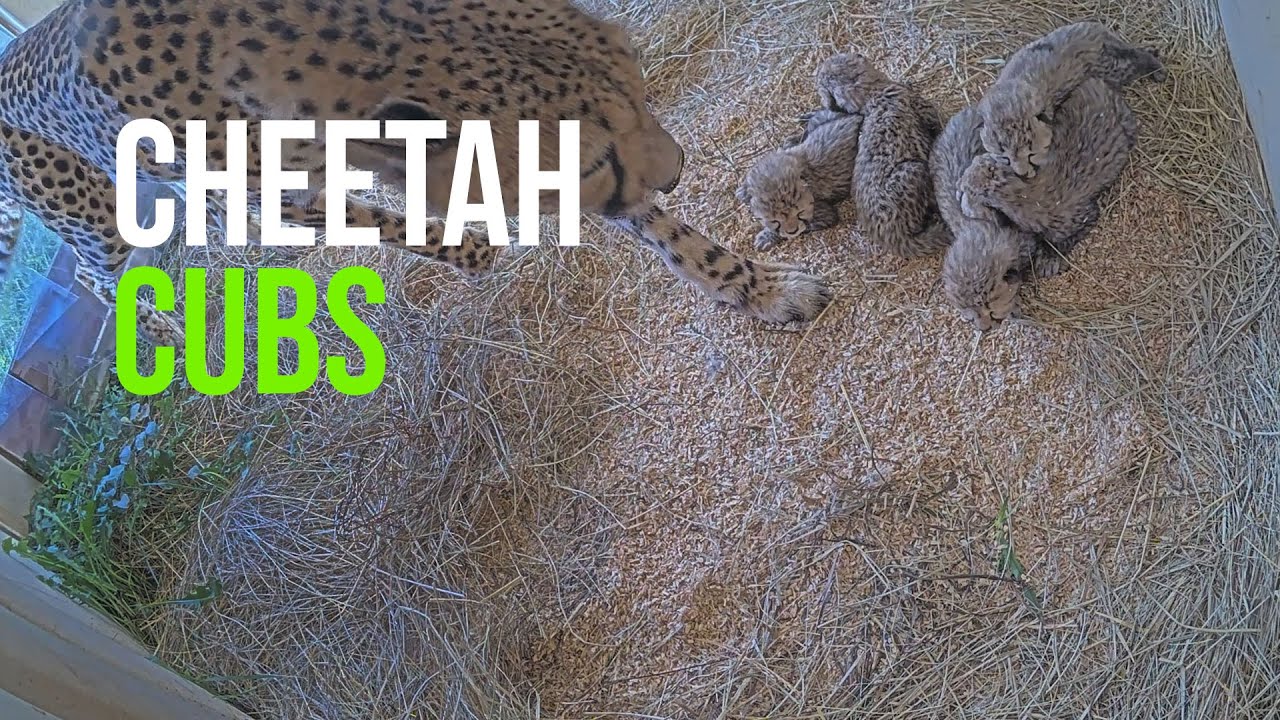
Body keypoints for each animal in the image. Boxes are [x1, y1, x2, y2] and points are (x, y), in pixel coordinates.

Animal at [0, 0, 833, 350]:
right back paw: (160, 324)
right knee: (94, 276)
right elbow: (388, 220)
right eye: (594, 155)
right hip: (96, 218)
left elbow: (671, 240)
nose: (679, 168)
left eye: (638, 87)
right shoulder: (300, 193)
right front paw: (469, 249)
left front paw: (757, 289)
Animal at [735, 108, 864, 252]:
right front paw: (744, 191)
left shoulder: (825, 215)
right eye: (775, 220)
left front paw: (766, 236)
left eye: (800, 213)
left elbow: (803, 226)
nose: (793, 231)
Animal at [815, 51, 952, 259]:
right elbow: (937, 122)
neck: (871, 94)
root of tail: (894, 240)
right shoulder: (923, 109)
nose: (817, 73)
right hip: (915, 170)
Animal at [976, 20, 1166, 178]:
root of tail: (1095, 33)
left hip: (1113, 69)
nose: (1022, 174)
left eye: (1031, 154)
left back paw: (1157, 67)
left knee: (1136, 57)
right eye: (1005, 158)